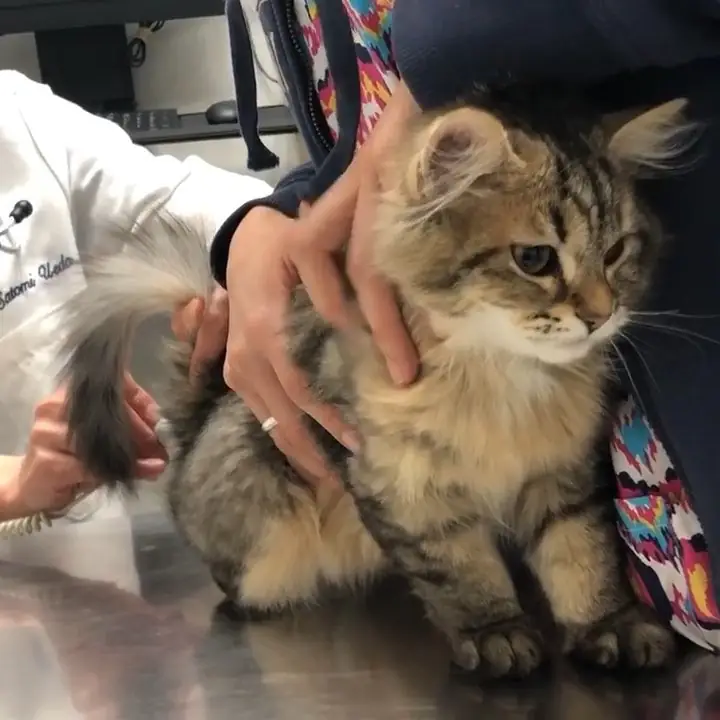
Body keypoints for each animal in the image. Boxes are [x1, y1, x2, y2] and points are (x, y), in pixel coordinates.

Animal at [58, 89, 692, 680]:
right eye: (534, 258)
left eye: (616, 252)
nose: (600, 315)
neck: (503, 379)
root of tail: (195, 426)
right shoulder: (400, 485)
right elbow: (461, 570)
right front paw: (497, 634)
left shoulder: (565, 472)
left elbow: (582, 557)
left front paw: (609, 625)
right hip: (270, 528)